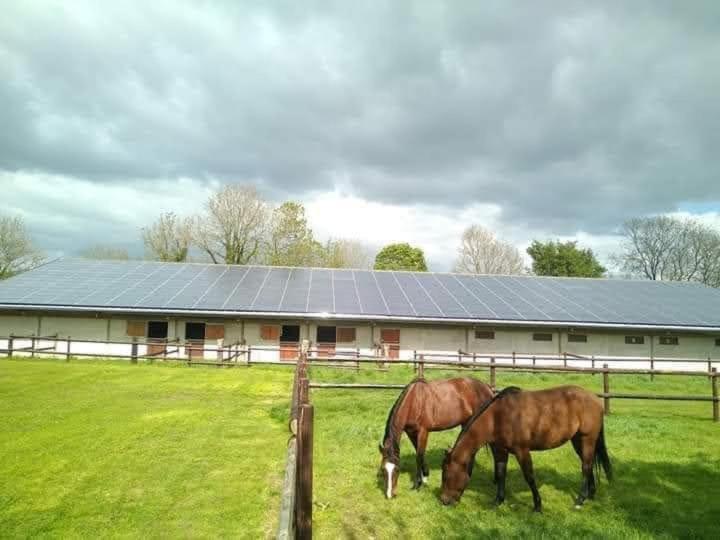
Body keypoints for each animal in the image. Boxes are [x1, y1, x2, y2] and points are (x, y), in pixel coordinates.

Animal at [438, 384, 612, 510]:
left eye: (446, 475)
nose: (444, 501)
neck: (497, 417)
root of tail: (596, 400)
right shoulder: (501, 451)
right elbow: (501, 474)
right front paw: (498, 501)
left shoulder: (522, 451)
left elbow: (529, 477)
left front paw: (537, 505)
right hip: (577, 440)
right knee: (588, 465)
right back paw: (590, 495)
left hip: (587, 439)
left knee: (586, 466)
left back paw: (580, 500)